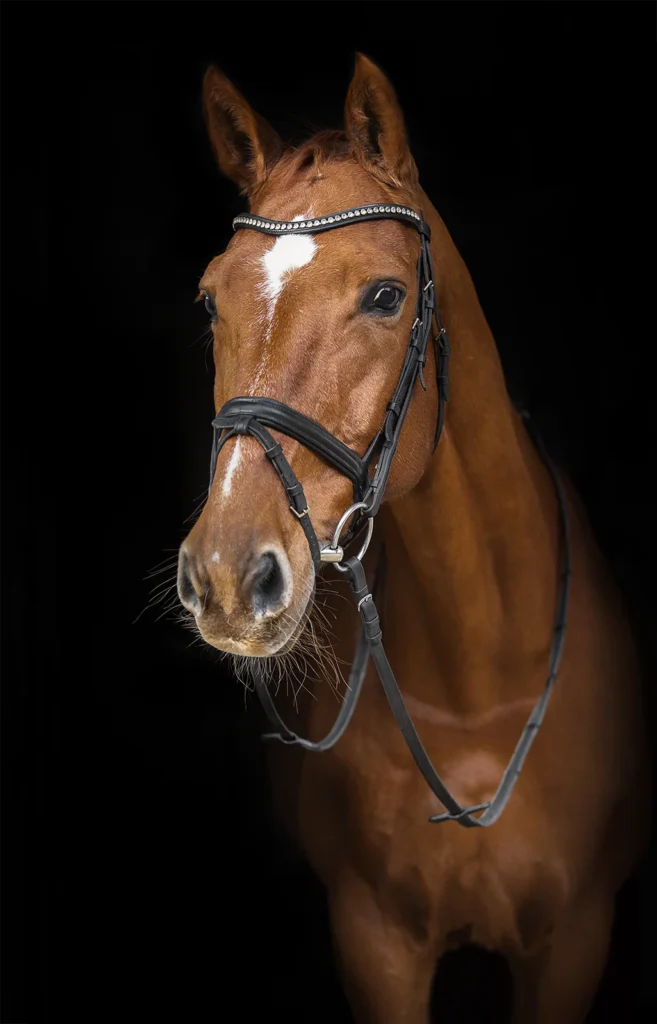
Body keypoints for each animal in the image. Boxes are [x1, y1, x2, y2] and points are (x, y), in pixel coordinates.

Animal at [176, 54, 649, 1022]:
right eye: (209, 301)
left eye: (386, 296)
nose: (228, 576)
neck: (476, 697)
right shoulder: (376, 944)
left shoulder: (573, 943)